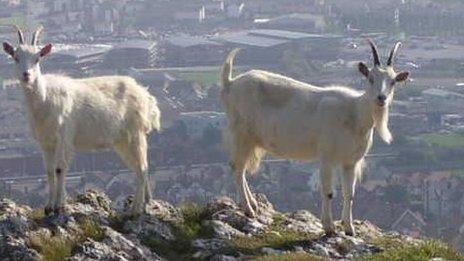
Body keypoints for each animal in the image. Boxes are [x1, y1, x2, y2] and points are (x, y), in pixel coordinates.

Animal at [2, 25, 160, 215]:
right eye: (15, 57)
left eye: (37, 58)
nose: (27, 75)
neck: (45, 99)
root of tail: (145, 94)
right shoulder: (45, 142)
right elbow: (49, 171)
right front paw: (49, 207)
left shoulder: (63, 137)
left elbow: (59, 169)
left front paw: (59, 206)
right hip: (122, 140)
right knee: (140, 167)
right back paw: (146, 202)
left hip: (135, 133)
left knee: (142, 168)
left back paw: (136, 209)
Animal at [221, 39, 410, 236]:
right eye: (371, 78)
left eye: (393, 81)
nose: (381, 98)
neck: (354, 113)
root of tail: (230, 83)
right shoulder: (327, 156)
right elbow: (328, 191)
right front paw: (329, 227)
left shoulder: (351, 161)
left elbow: (349, 194)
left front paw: (349, 229)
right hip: (241, 133)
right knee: (237, 167)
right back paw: (248, 209)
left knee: (240, 168)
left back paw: (253, 204)